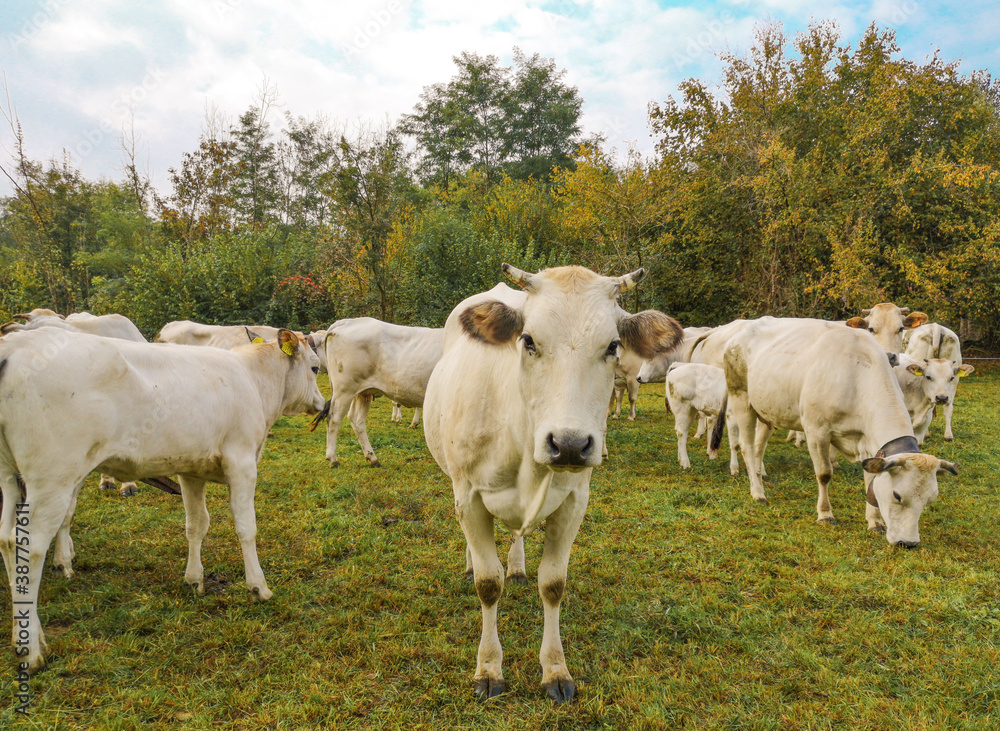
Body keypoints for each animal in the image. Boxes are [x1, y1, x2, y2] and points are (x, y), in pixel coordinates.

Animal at [0, 328, 324, 676]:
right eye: (316, 367)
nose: (323, 403)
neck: (253, 379)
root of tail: (17, 343)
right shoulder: (242, 462)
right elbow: (246, 527)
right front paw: (258, 587)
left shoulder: (191, 470)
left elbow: (197, 525)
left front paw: (194, 580)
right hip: (52, 478)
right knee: (28, 545)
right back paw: (31, 650)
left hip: (11, 477)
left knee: (6, 539)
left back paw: (28, 634)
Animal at [316, 318, 442, 466]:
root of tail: (348, 321)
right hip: (344, 390)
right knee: (334, 419)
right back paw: (333, 458)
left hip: (362, 392)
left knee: (356, 419)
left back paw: (372, 457)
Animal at [422, 264, 680, 704]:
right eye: (528, 340)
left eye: (613, 345)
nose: (570, 444)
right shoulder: (468, 496)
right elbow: (488, 584)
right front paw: (488, 667)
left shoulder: (575, 501)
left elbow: (554, 584)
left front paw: (555, 670)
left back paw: (517, 565)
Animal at [724, 318, 956, 548]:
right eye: (897, 495)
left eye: (929, 500)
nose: (908, 543)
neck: (856, 374)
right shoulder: (816, 432)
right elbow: (824, 474)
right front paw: (825, 514)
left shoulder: (867, 441)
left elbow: (870, 479)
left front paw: (875, 522)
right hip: (740, 398)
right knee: (746, 446)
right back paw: (757, 492)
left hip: (767, 412)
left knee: (758, 448)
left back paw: (758, 476)